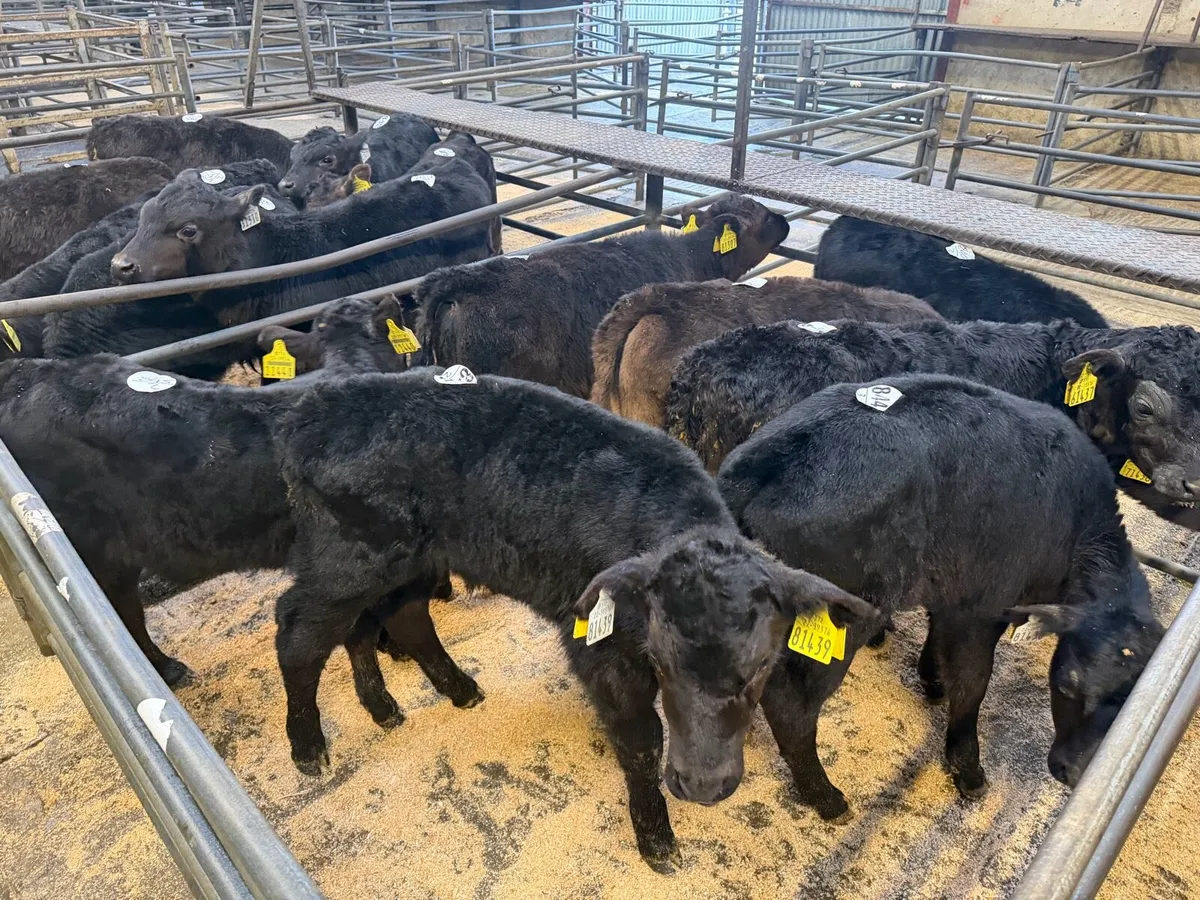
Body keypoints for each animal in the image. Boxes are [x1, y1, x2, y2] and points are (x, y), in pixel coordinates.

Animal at [715, 374, 1161, 815]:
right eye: (1066, 685)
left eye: (1130, 701)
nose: (1072, 771)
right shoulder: (983, 608)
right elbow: (973, 683)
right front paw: (967, 767)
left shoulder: (953, 593)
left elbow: (939, 640)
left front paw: (931, 678)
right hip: (838, 620)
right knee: (791, 707)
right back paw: (824, 796)